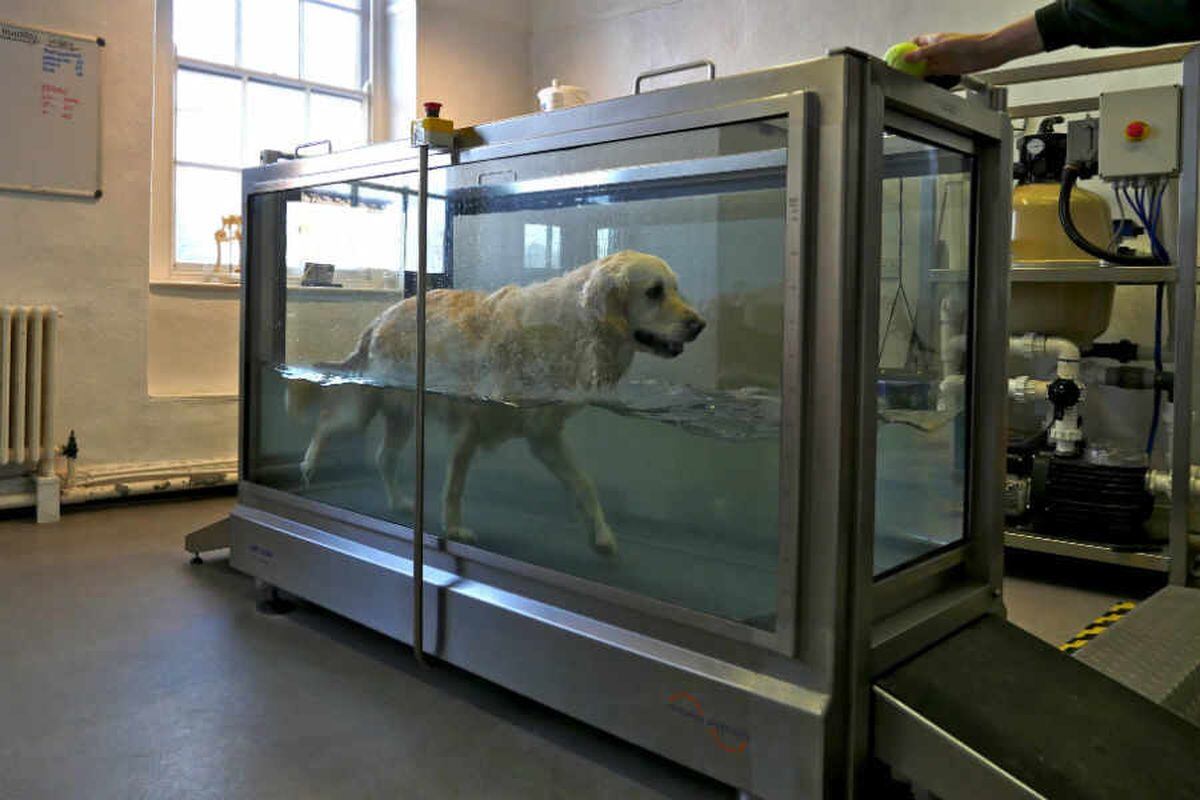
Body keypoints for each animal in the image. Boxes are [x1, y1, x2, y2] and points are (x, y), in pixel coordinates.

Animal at [289, 250, 700, 556]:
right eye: (654, 291)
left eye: (676, 288)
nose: (700, 325)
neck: (572, 330)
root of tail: (380, 318)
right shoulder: (470, 431)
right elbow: (454, 487)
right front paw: (454, 529)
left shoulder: (545, 437)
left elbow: (584, 484)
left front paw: (601, 535)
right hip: (361, 412)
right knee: (325, 423)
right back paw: (308, 464)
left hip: (401, 418)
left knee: (382, 458)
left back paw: (400, 502)